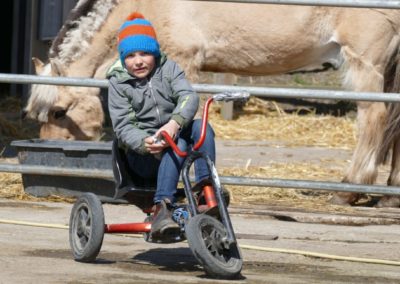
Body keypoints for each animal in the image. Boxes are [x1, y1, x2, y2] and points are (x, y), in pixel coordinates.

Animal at [24, 1, 400, 207]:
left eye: (59, 112)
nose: (49, 150)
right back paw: (389, 193)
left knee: (373, 118)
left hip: (364, 62)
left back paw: (349, 188)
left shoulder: (184, 65)